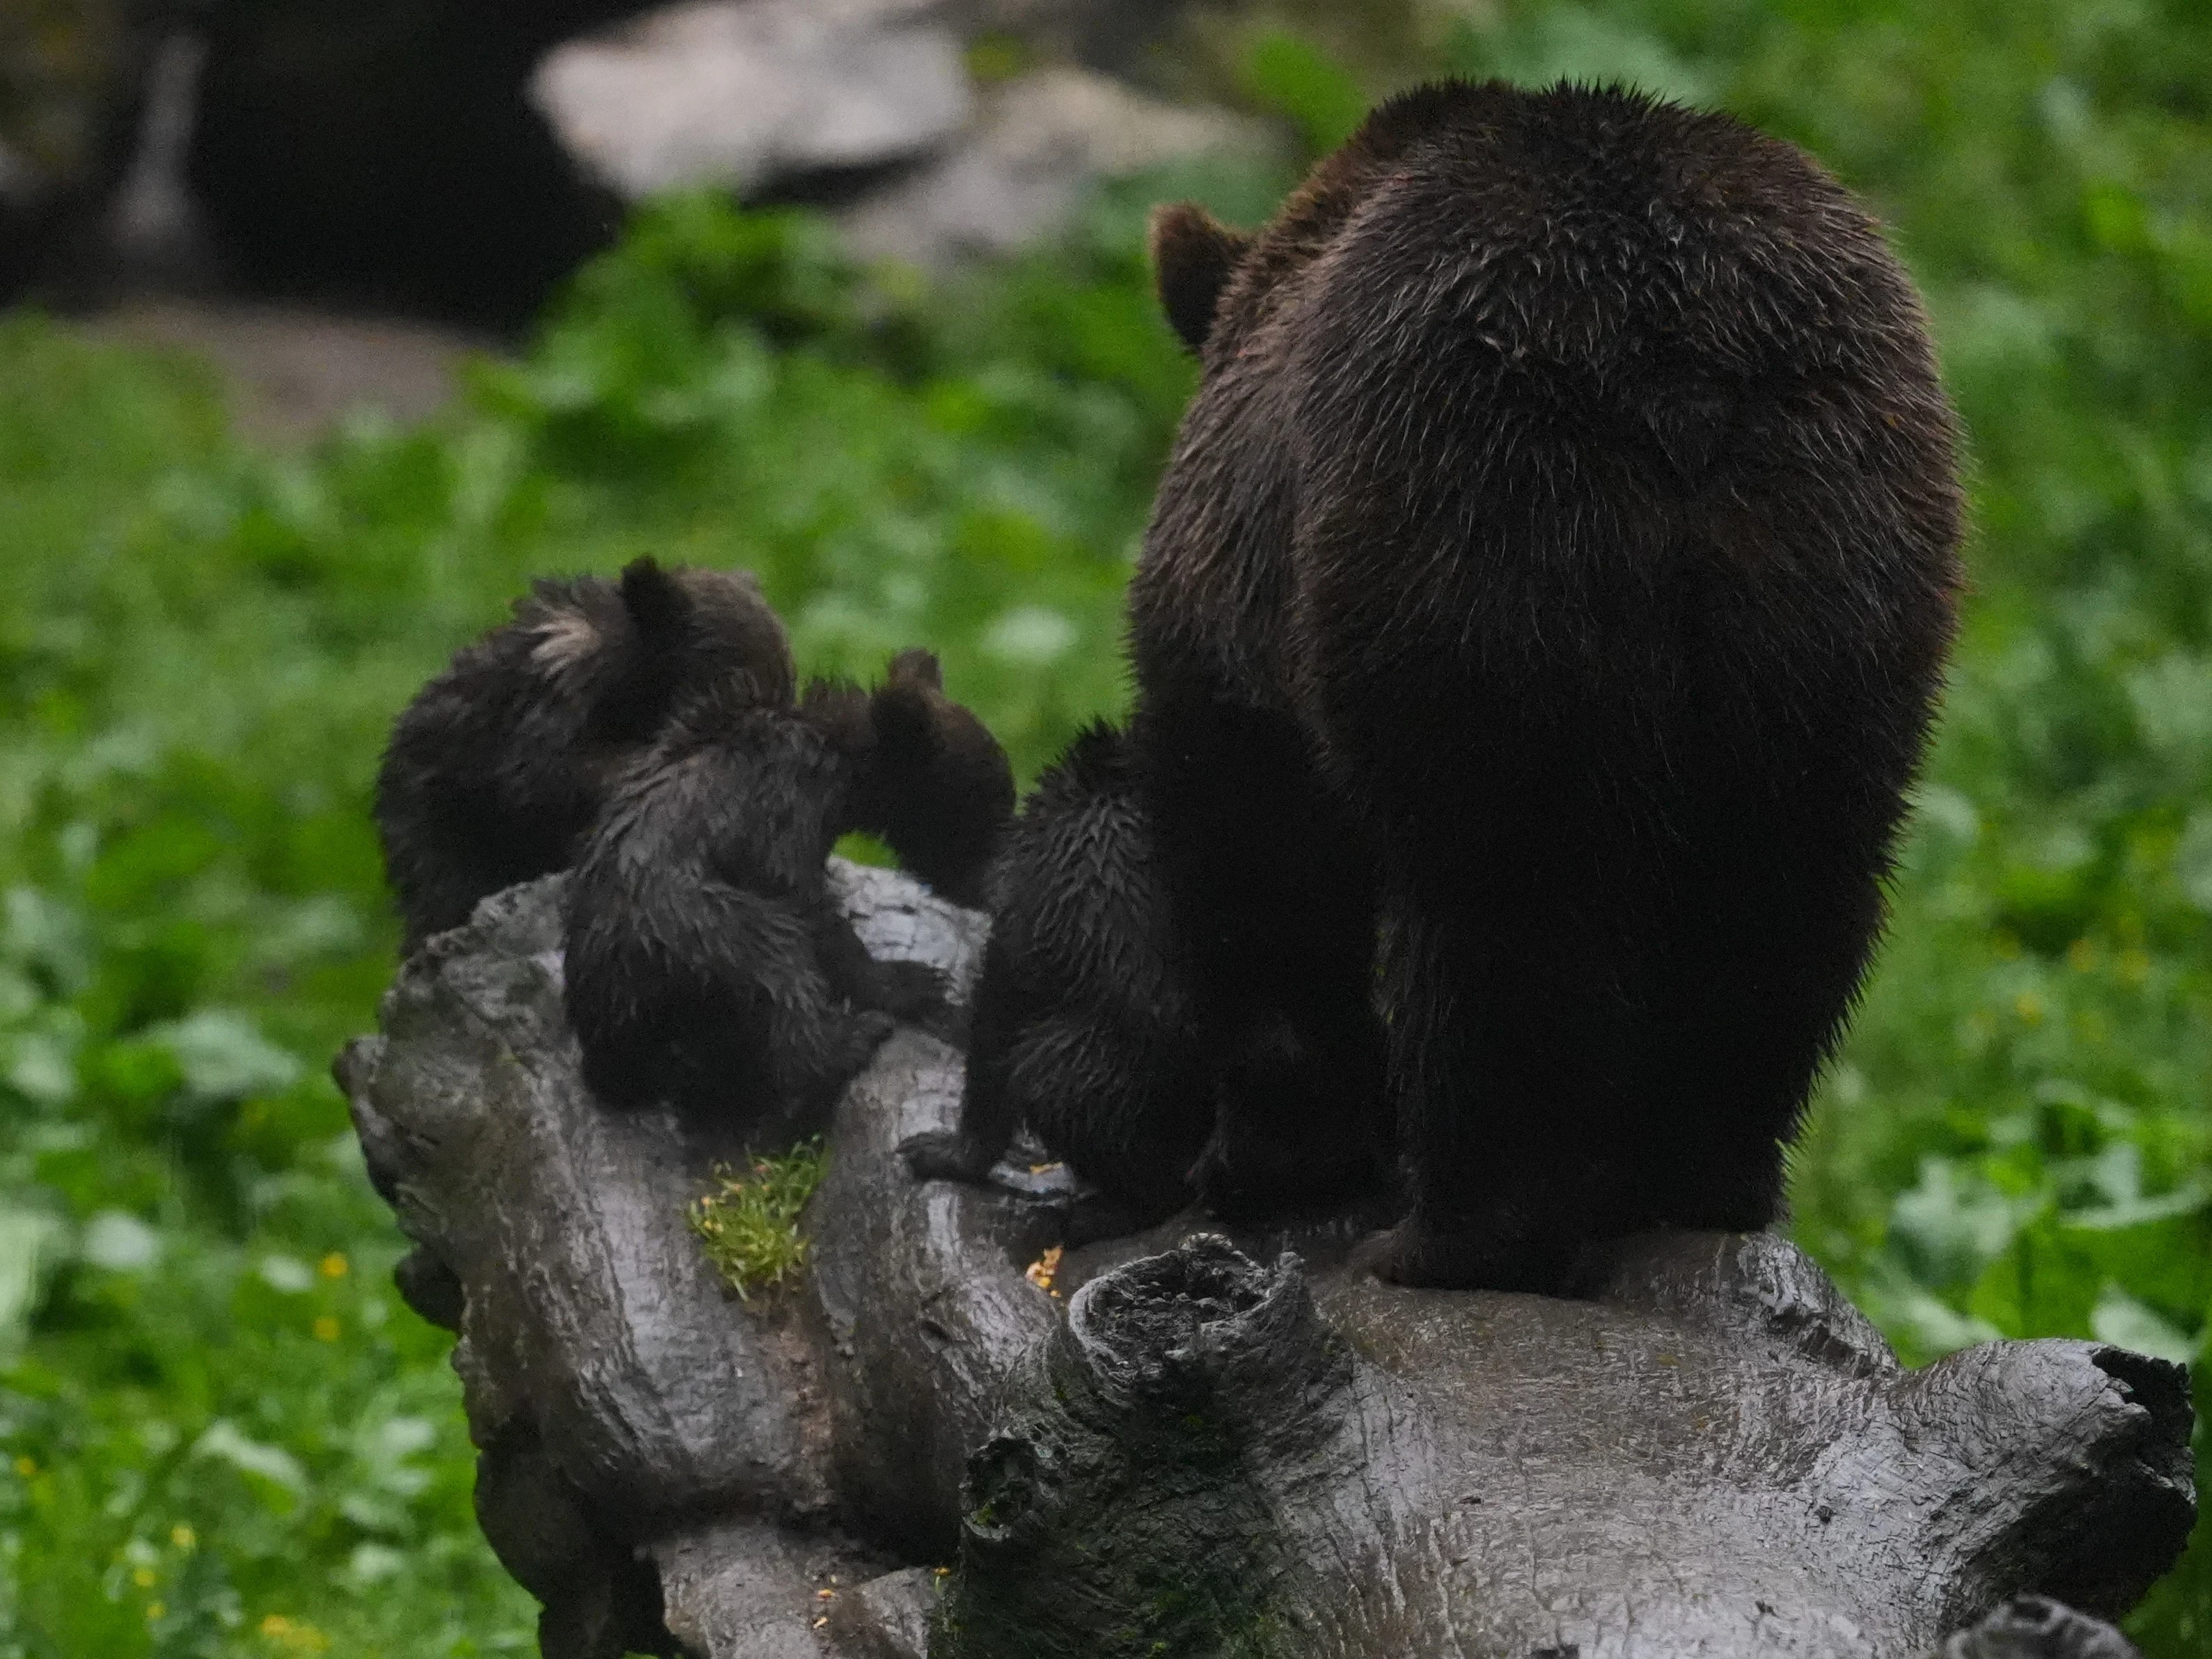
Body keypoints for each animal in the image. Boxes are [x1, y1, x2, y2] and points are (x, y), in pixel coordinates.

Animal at [563, 647, 1014, 1127]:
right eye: (982, 808)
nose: (992, 890)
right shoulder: (785, 808)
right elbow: (798, 896)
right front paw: (903, 981)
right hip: (679, 929)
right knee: (771, 957)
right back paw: (852, 1038)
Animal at [1110, 79, 1963, 1290]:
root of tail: (1674, 359)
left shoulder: (1244, 580)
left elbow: (1254, 839)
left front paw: (1263, 1159)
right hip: (1838, 553)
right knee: (1788, 871)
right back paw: (1699, 1175)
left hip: (1471, 523)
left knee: (1507, 889)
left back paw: (1455, 1232)